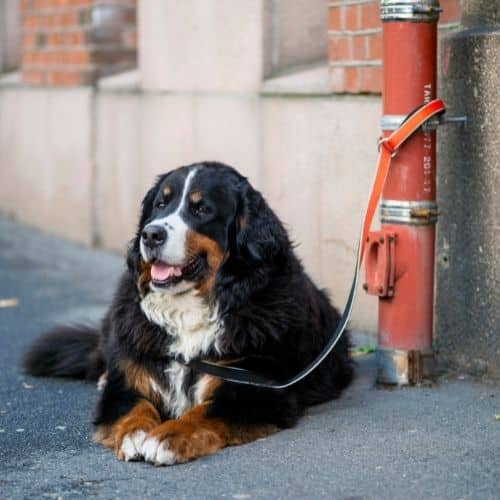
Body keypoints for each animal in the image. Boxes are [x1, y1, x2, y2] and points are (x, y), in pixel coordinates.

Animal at [21, 162, 354, 466]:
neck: (188, 308)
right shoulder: (128, 382)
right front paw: (134, 434)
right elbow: (134, 407)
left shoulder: (254, 388)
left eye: (201, 209)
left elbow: (203, 411)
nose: (150, 234)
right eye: (160, 204)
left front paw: (168, 436)